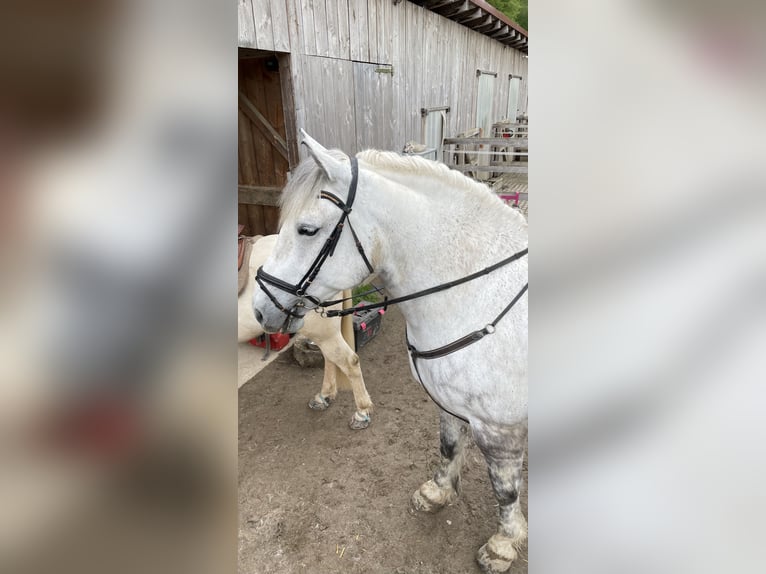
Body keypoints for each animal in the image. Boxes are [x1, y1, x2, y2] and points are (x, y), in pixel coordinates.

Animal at [255, 133, 532, 572]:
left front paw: (502, 545)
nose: (259, 308)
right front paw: (437, 493)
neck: (476, 295)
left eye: (307, 229)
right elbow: (449, 446)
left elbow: (504, 490)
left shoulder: (499, 429)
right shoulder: (449, 405)